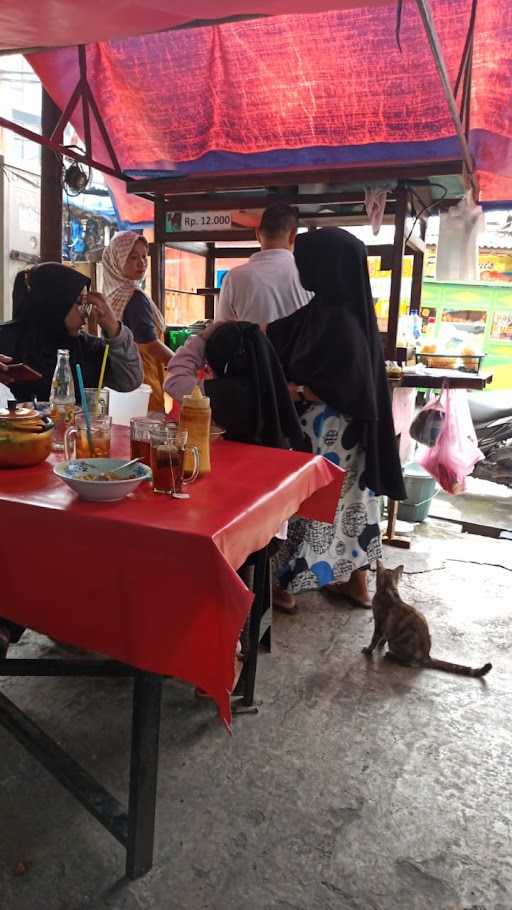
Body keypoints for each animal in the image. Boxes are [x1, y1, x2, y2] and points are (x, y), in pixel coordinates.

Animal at [360, 560, 492, 680]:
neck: (388, 590)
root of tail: (427, 656)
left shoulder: (379, 622)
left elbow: (374, 638)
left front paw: (369, 650)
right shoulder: (385, 626)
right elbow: (384, 636)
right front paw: (381, 644)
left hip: (398, 644)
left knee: (413, 663)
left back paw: (392, 656)